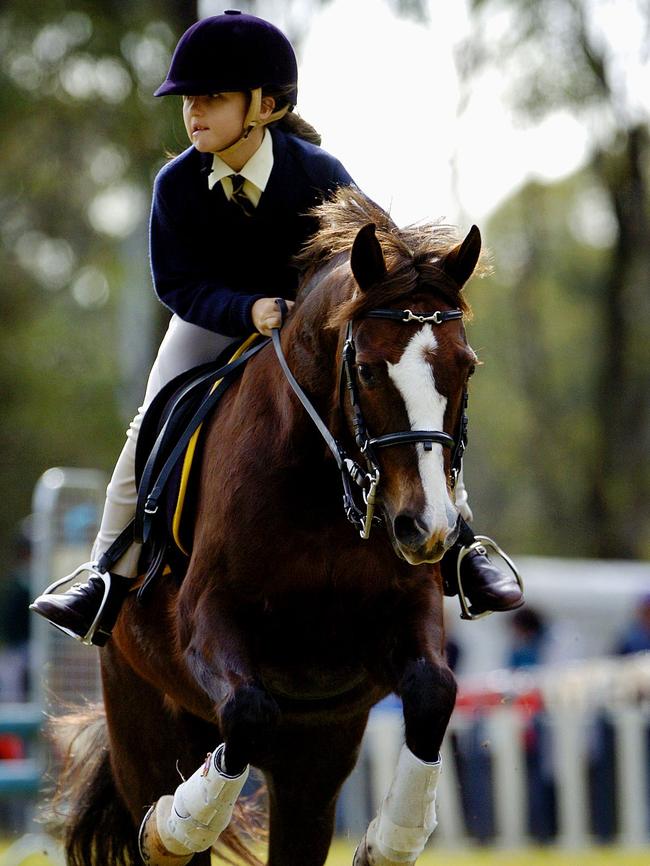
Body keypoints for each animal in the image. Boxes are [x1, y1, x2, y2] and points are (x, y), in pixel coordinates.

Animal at [54, 189, 480, 864]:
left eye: (466, 368)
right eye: (365, 369)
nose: (426, 529)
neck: (322, 490)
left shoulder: (401, 615)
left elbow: (434, 690)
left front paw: (392, 838)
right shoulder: (207, 618)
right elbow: (250, 709)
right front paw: (175, 824)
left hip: (316, 761)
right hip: (143, 718)